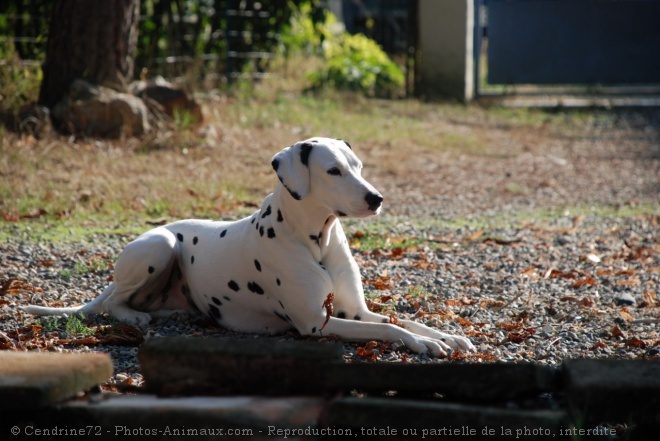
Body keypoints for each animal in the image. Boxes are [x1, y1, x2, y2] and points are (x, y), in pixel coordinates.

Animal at [24, 137, 474, 354]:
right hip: (159, 246)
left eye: (358, 166)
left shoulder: (354, 311)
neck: (314, 240)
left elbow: (400, 321)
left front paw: (446, 336)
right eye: (333, 170)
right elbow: (391, 331)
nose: (376, 198)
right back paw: (134, 316)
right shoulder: (317, 324)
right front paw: (423, 343)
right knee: (115, 302)